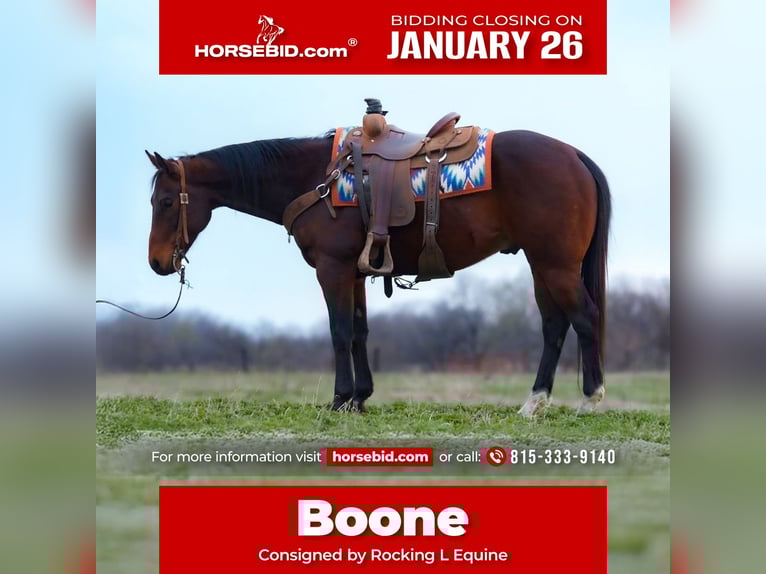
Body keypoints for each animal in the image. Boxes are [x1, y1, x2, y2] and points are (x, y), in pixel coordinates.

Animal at [146, 121, 611, 418]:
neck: (317, 180)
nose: (156, 262)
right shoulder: (354, 272)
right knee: (554, 326)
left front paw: (340, 399)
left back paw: (591, 398)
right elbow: (359, 331)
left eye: (166, 201)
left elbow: (339, 332)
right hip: (541, 264)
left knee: (584, 317)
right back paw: (534, 402)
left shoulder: (331, 269)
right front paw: (361, 397)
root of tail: (573, 155)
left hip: (556, 264)